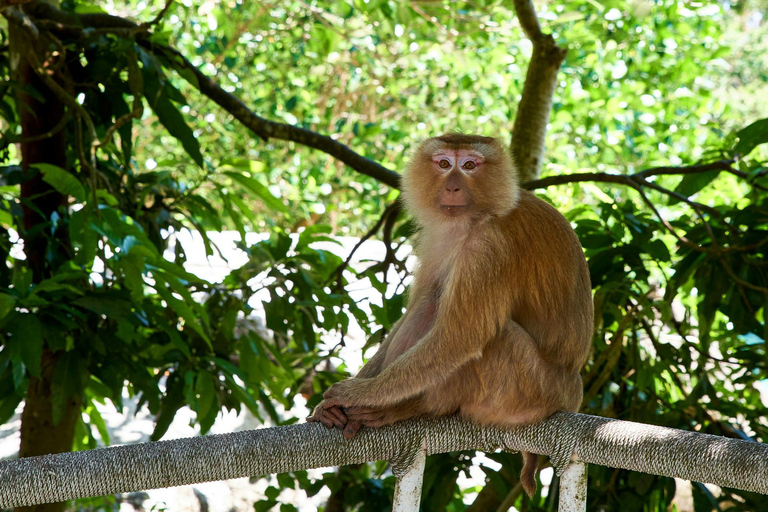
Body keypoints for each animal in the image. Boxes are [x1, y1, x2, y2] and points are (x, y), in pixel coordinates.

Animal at [308, 133, 592, 496]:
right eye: (444, 164)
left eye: (469, 165)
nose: (453, 187)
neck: (476, 217)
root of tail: (573, 392)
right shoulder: (438, 239)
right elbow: (421, 308)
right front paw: (341, 400)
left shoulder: (489, 246)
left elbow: (460, 338)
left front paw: (361, 394)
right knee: (431, 303)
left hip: (529, 390)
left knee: (492, 337)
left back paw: (412, 408)